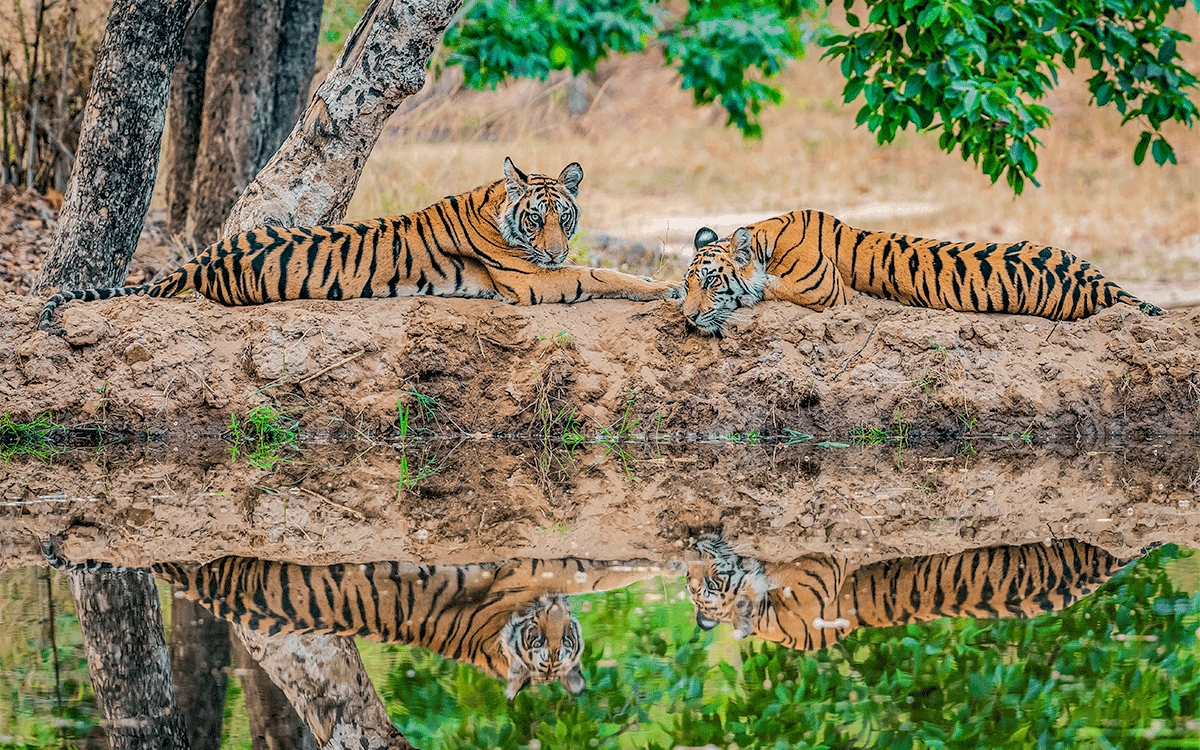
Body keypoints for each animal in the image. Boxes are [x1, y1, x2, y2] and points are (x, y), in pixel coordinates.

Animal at [39, 157, 678, 331]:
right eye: (537, 218)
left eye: (565, 218)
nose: (555, 250)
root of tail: (203, 260)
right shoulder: (529, 282)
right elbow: (601, 274)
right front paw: (667, 287)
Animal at [681, 210, 1163, 335]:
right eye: (688, 284)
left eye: (712, 281)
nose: (687, 317)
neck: (768, 237)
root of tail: (1102, 280)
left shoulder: (822, 290)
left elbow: (767, 289)